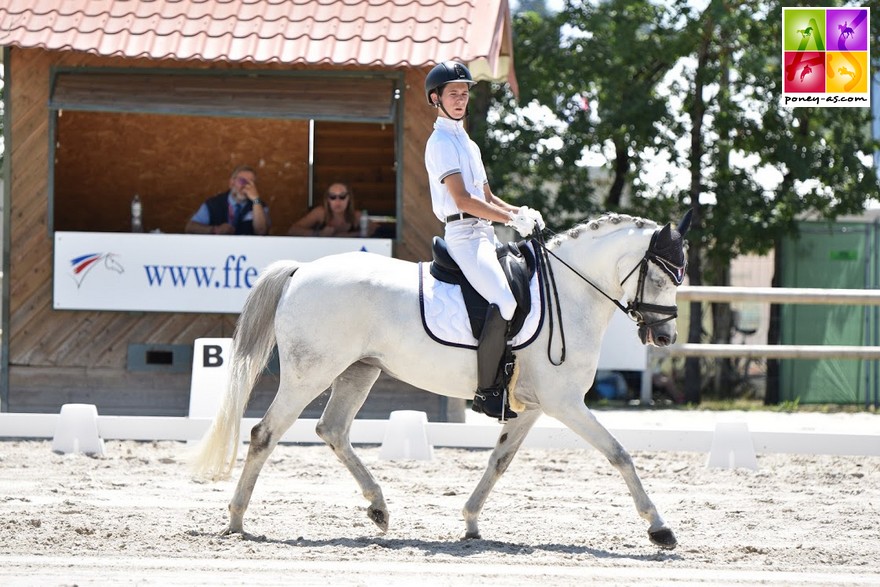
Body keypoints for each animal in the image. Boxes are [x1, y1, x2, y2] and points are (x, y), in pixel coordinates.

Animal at [196, 211, 692, 552]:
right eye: (664, 274)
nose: (665, 337)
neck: (569, 295)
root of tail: (302, 270)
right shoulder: (565, 401)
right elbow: (619, 454)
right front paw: (660, 528)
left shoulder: (531, 406)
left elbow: (499, 461)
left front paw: (470, 520)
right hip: (310, 372)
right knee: (265, 433)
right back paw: (237, 520)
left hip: (359, 369)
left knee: (331, 429)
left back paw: (378, 508)